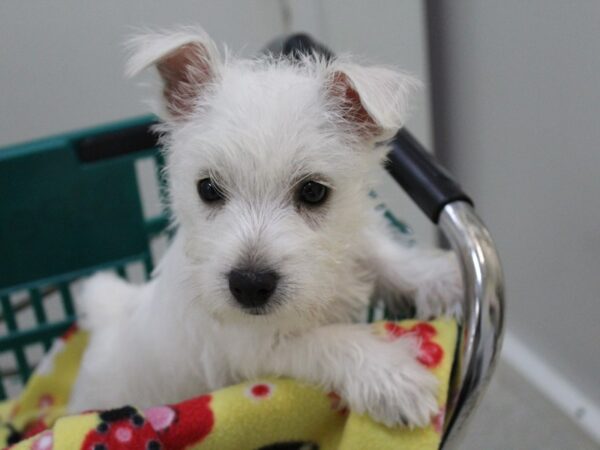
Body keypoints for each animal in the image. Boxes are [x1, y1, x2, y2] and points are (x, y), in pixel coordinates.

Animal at [68, 26, 462, 428]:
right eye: (207, 188)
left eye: (313, 191)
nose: (250, 285)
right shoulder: (260, 349)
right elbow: (331, 340)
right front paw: (395, 378)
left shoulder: (348, 245)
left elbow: (382, 256)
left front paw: (448, 277)